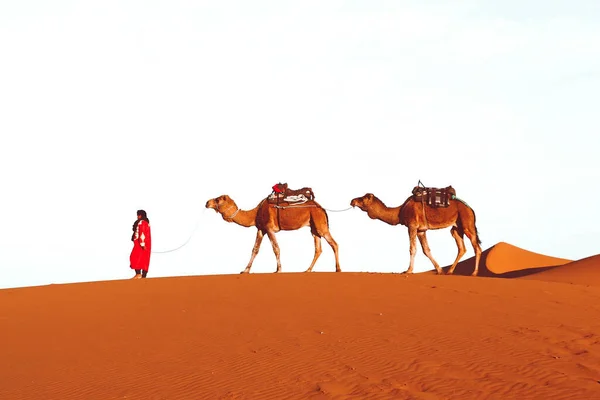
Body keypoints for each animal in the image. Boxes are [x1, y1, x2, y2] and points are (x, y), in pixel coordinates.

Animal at [205, 195, 338, 276]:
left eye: (217, 199)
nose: (207, 202)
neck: (256, 213)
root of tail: (322, 208)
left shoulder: (269, 228)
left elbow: (276, 248)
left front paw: (278, 270)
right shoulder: (261, 229)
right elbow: (255, 249)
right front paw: (245, 270)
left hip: (319, 223)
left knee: (334, 244)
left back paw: (338, 269)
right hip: (314, 227)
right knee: (318, 249)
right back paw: (308, 270)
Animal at [346, 193, 482, 276]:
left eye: (363, 198)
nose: (352, 201)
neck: (400, 211)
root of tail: (471, 209)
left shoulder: (412, 227)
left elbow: (412, 249)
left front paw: (408, 270)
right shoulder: (421, 230)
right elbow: (426, 250)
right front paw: (439, 270)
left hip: (467, 222)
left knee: (477, 247)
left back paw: (474, 273)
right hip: (456, 228)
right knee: (461, 247)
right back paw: (449, 271)